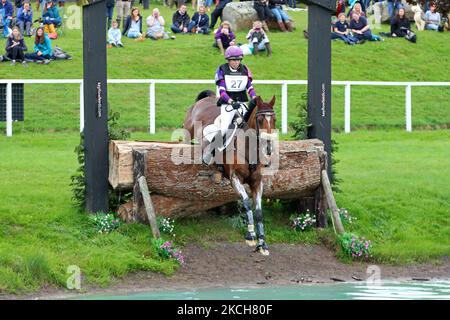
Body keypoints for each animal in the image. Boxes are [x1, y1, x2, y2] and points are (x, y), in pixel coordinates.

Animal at [184, 90, 278, 255]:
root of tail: (203, 100)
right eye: (260, 120)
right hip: (186, 135)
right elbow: (246, 202)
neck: (248, 148)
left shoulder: (257, 181)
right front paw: (251, 236)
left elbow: (259, 210)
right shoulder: (235, 178)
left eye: (274, 120)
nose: (268, 148)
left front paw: (262, 244)